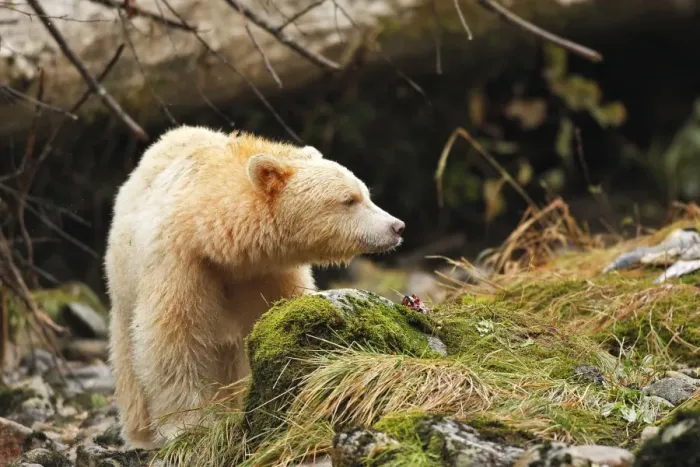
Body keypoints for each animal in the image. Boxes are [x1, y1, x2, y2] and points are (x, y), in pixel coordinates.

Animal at [104, 125, 405, 449]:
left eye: (366, 193)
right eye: (349, 200)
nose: (397, 227)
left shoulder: (267, 273)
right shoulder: (179, 263)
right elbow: (173, 338)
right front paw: (189, 425)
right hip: (123, 283)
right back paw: (140, 433)